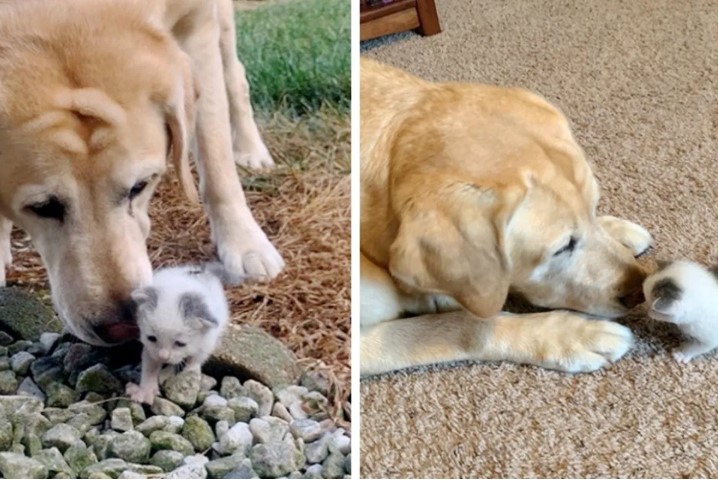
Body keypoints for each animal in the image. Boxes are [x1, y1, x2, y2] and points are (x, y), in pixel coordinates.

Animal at [0, 0, 286, 346]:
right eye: (42, 207)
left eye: (140, 186)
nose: (122, 326)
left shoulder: (198, 24)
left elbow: (216, 158)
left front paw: (245, 243)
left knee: (235, 76)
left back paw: (249, 148)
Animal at [125, 262, 233, 404]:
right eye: (152, 338)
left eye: (180, 344)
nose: (163, 356)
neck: (180, 286)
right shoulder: (150, 349)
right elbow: (150, 365)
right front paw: (145, 391)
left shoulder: (208, 340)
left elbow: (196, 358)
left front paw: (190, 373)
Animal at [362, 58, 656, 376]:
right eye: (562, 248)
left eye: (594, 207)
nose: (639, 291)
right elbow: (465, 326)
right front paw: (569, 333)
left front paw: (614, 228)